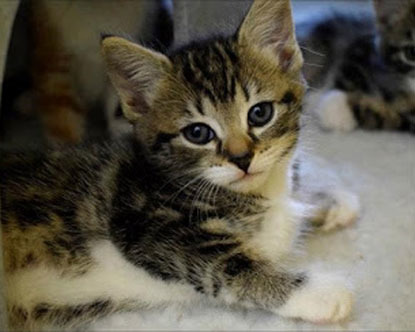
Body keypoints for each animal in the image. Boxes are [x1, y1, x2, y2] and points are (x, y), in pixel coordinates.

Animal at [0, 1, 360, 330]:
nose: (242, 159)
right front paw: (318, 292)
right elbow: (229, 263)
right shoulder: (143, 223)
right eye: (198, 133)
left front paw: (329, 200)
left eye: (260, 113)